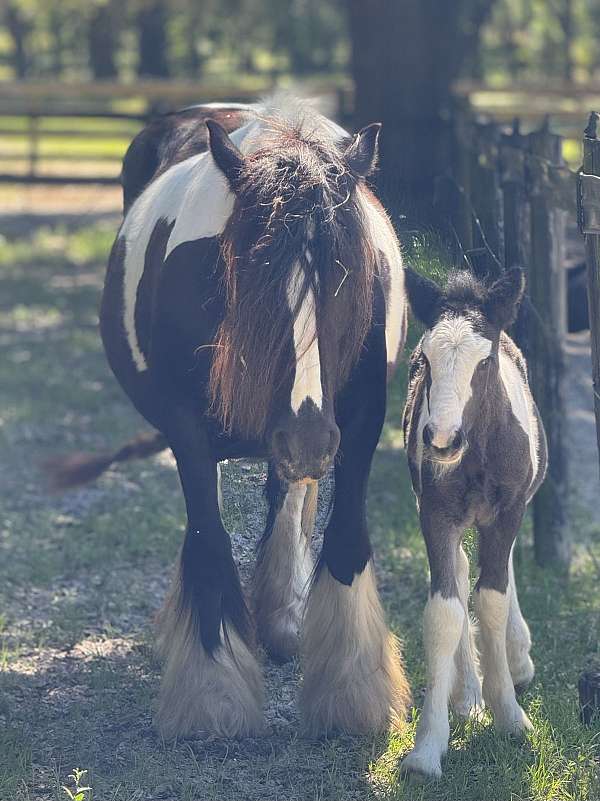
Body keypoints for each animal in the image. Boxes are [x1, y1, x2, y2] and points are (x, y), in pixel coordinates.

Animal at [51, 98, 410, 736]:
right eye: (251, 284)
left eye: (349, 282)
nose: (310, 438)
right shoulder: (190, 434)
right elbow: (209, 540)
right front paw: (213, 696)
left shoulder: (361, 425)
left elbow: (345, 540)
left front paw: (351, 694)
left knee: (287, 500)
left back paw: (282, 618)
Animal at [400, 268, 548, 776]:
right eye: (425, 359)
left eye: (484, 363)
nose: (442, 440)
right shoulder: (435, 513)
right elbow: (446, 608)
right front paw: (428, 747)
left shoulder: (508, 513)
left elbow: (493, 598)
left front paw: (511, 717)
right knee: (464, 572)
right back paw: (466, 695)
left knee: (497, 575)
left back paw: (517, 659)